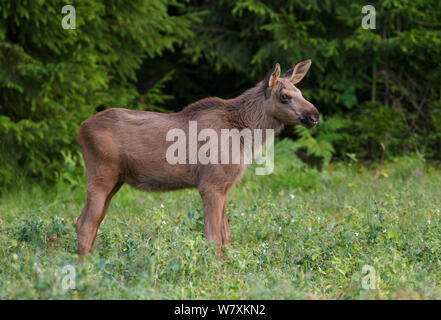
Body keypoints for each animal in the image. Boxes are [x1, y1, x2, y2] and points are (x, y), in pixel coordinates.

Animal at [75, 59, 316, 255]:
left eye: (301, 93)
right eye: (285, 96)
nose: (315, 115)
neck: (245, 137)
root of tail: (80, 129)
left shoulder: (225, 186)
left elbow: (226, 236)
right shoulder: (211, 184)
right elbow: (214, 238)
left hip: (116, 180)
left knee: (87, 221)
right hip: (101, 174)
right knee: (86, 223)